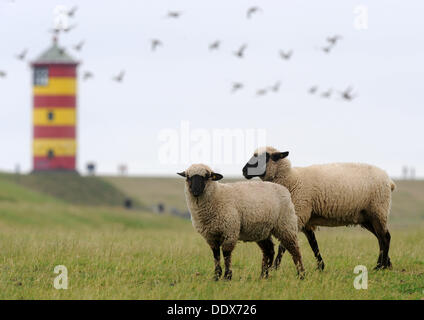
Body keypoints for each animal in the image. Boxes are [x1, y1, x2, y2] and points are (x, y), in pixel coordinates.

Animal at [243, 147, 396, 270]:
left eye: (263, 157)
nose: (244, 171)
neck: (291, 179)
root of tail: (389, 181)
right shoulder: (304, 218)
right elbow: (313, 244)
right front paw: (321, 266)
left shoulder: (299, 213)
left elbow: (285, 245)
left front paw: (275, 267)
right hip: (367, 216)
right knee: (380, 238)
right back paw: (384, 264)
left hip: (378, 210)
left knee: (385, 237)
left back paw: (381, 266)